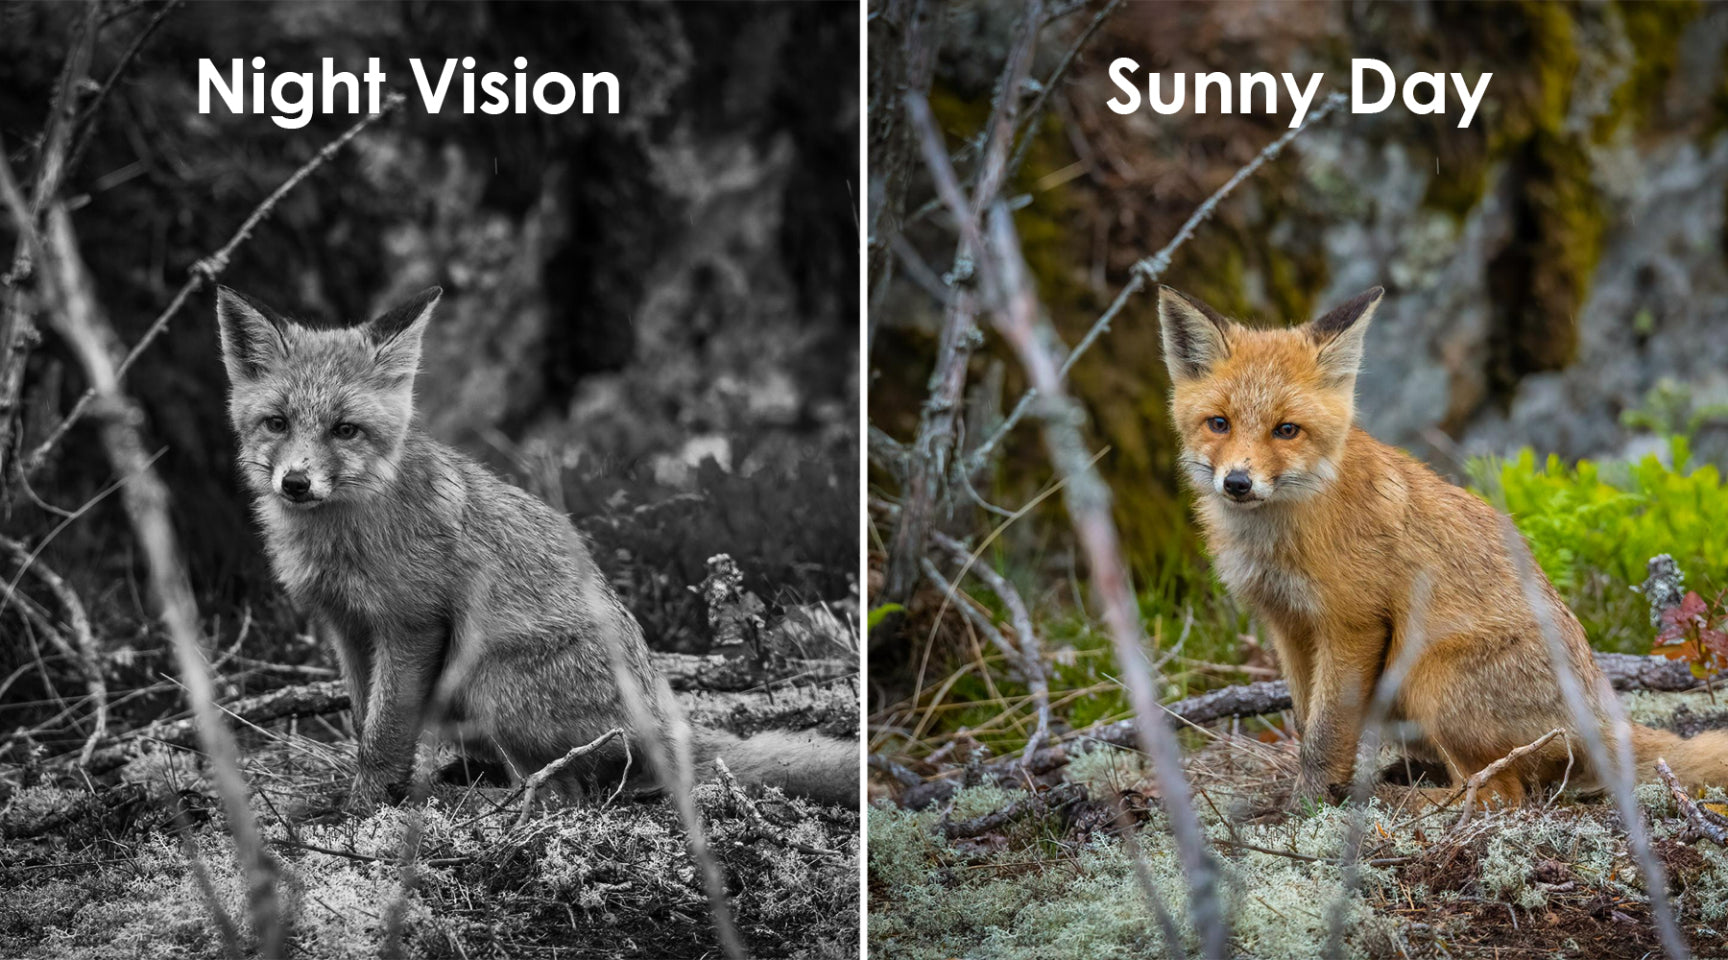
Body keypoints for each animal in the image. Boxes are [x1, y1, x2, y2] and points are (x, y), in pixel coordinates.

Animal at [215, 285, 858, 814]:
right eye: (277, 423)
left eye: (345, 429)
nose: (296, 483)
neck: (341, 535)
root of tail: (667, 717)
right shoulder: (347, 628)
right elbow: (361, 720)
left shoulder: (411, 625)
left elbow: (385, 733)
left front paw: (365, 809)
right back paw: (464, 778)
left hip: (487, 677)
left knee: (563, 795)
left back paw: (476, 804)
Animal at [1158, 284, 1728, 809]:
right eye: (1219, 424)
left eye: (1286, 430)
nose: (1237, 483)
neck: (1280, 536)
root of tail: (1600, 712)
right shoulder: (1289, 627)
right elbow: (1305, 723)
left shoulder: (1352, 625)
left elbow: (1326, 734)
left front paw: (1311, 807)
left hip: (1427, 675)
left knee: (1499, 794)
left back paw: (1398, 801)